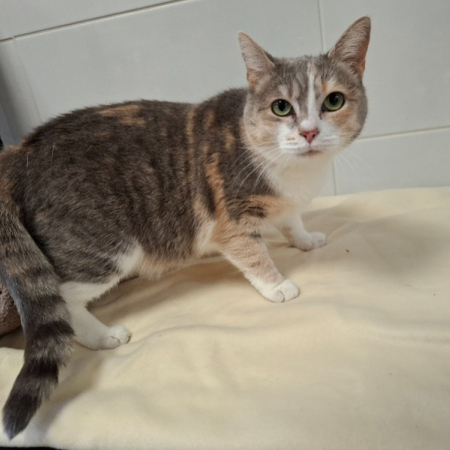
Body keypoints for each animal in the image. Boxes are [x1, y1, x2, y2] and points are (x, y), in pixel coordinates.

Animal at [0, 17, 370, 439]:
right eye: (281, 107)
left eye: (333, 101)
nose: (309, 131)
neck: (292, 169)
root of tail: (20, 152)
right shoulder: (231, 217)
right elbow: (252, 251)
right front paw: (276, 284)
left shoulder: (285, 203)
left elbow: (292, 219)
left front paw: (306, 239)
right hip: (105, 247)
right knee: (62, 297)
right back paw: (103, 335)